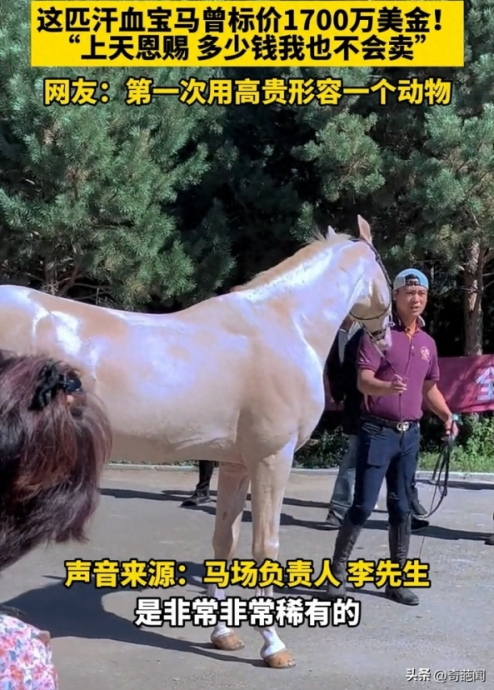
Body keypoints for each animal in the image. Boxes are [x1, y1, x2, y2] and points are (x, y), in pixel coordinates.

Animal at [0, 215, 392, 669]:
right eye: (384, 267)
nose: (388, 334)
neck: (286, 325)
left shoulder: (237, 464)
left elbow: (225, 543)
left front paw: (223, 635)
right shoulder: (272, 459)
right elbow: (265, 547)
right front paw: (274, 646)